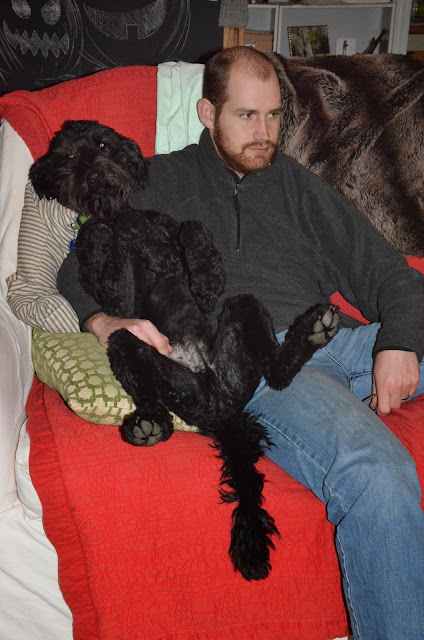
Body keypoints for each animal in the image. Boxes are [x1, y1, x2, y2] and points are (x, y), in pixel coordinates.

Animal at [30, 120, 339, 581]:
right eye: (68, 157)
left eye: (102, 144)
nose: (98, 176)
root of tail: (220, 408)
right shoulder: (117, 300)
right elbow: (106, 232)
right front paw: (142, 245)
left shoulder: (177, 236)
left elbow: (190, 227)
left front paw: (197, 271)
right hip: (130, 343)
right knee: (155, 399)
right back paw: (146, 427)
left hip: (242, 310)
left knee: (277, 371)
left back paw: (316, 330)